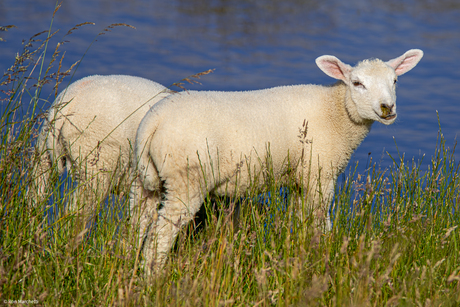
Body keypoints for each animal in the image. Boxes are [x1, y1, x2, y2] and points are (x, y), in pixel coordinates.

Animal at [133, 48, 424, 274]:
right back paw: (153, 279)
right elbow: (320, 220)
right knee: (160, 237)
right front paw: (323, 252)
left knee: (140, 225)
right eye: (357, 83)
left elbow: (299, 219)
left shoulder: (299, 177)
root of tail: (153, 120)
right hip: (186, 179)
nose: (387, 108)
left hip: (149, 180)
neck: (336, 112)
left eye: (395, 80)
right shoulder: (319, 173)